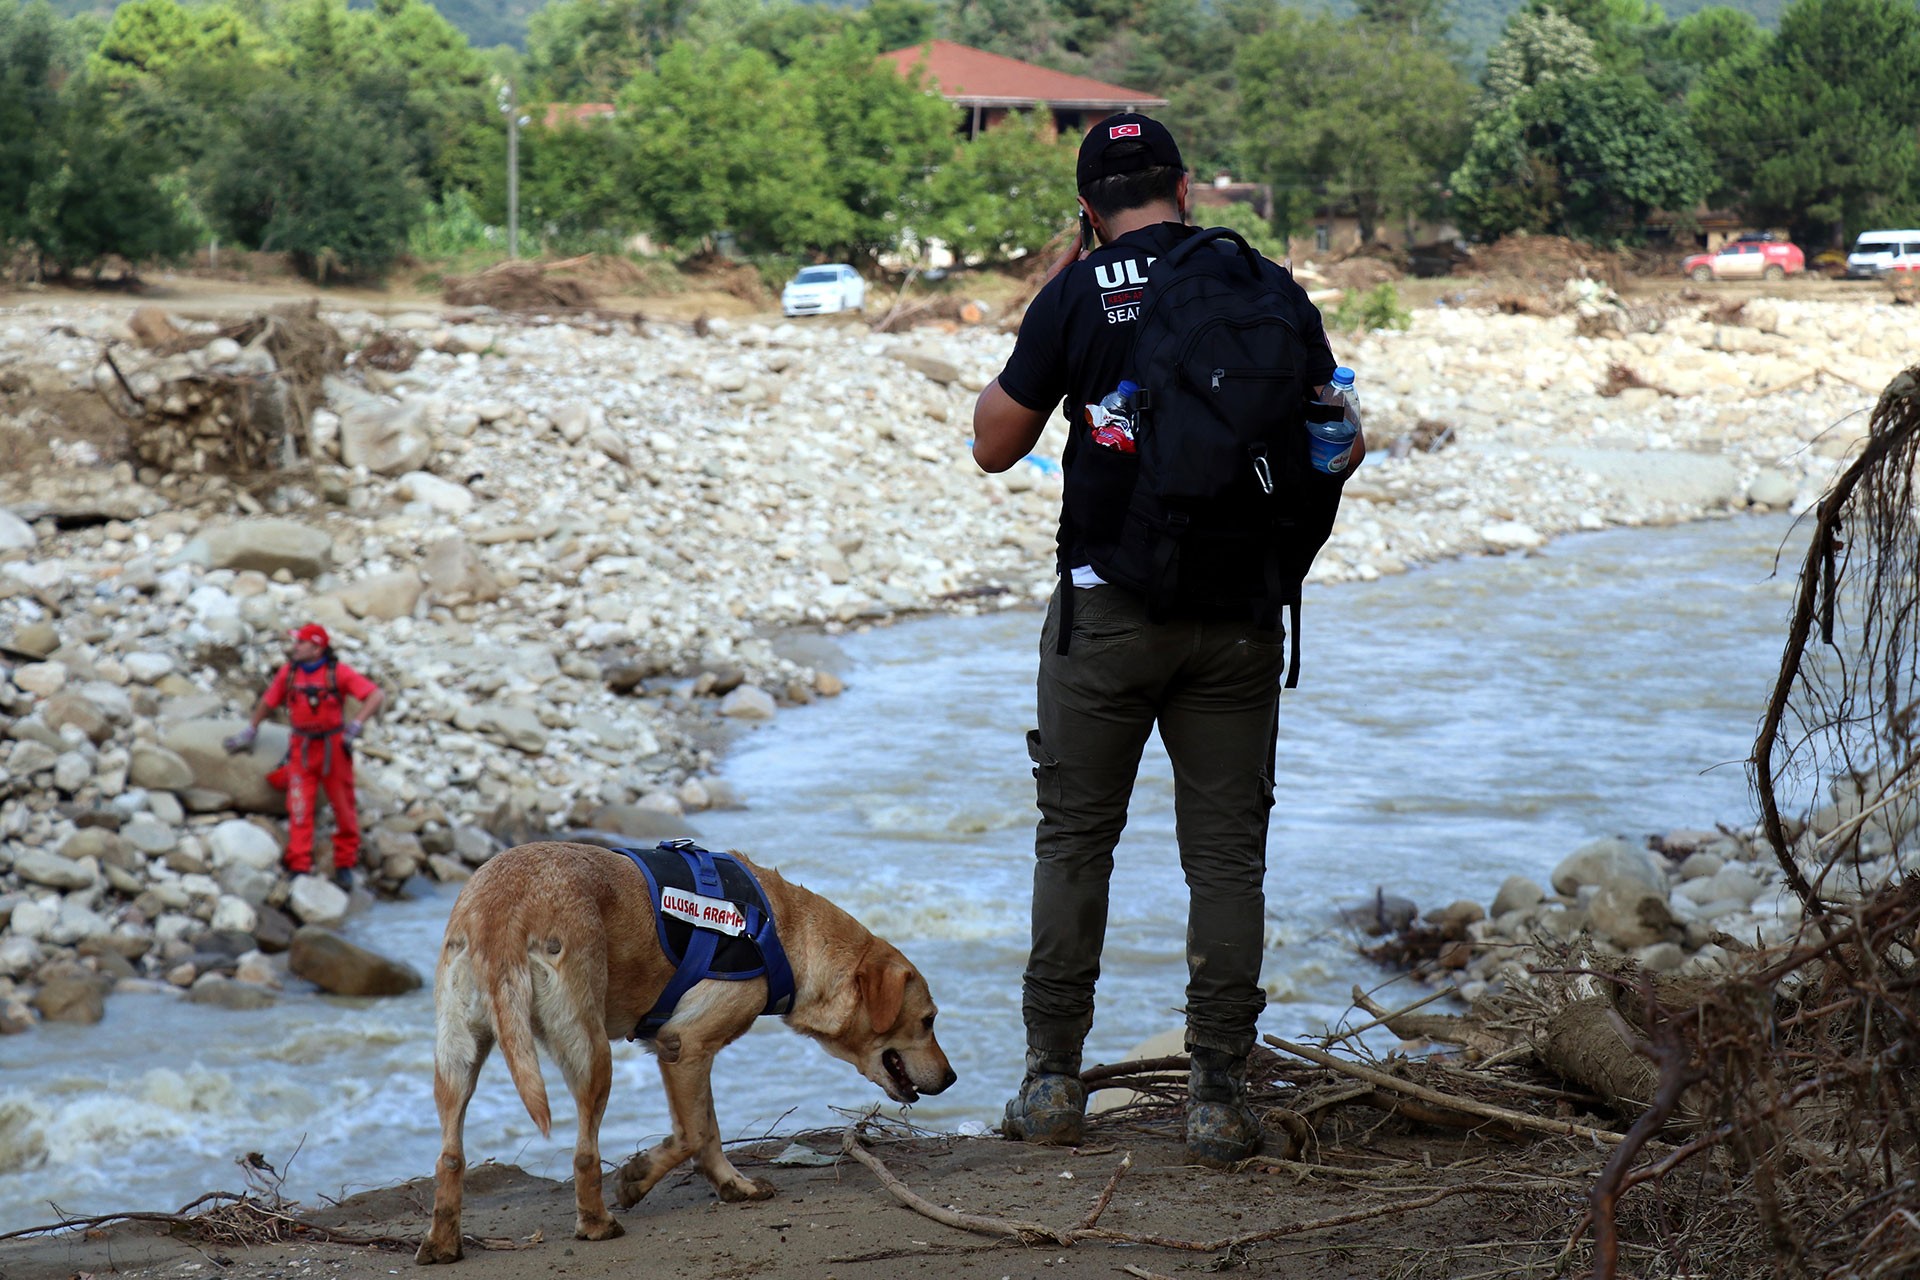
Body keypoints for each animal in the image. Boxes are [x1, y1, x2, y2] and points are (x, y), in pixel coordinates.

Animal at [412, 836, 952, 1266]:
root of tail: (502, 906)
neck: (782, 930)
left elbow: (708, 1131)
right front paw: (637, 1177)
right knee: (585, 1155)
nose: (951, 1079)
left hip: (457, 1058)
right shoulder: (686, 1045)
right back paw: (597, 1222)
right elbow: (692, 1134)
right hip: (591, 1054)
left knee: (449, 1157)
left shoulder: (687, 1053)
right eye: (928, 1020)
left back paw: (442, 1243)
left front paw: (733, 1186)